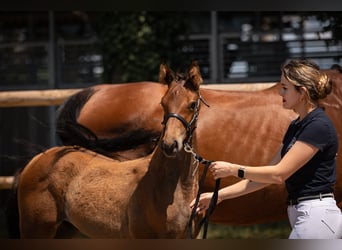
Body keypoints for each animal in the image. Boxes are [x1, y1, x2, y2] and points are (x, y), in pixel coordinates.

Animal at [17, 61, 207, 239]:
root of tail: (38, 159)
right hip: (36, 228)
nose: (169, 144)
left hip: (65, 230)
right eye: (162, 103)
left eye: (192, 105)